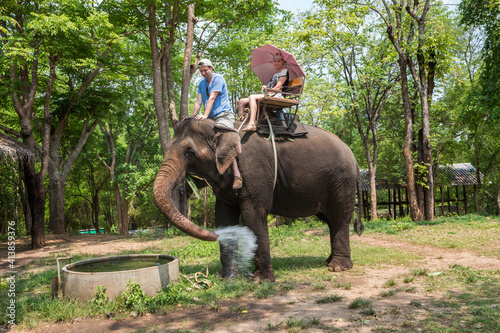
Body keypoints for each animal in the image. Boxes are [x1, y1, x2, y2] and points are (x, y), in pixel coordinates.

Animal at [153, 116, 364, 280]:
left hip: (341, 181)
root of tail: (355, 159)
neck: (222, 127)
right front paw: (227, 277)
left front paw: (260, 279)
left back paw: (338, 267)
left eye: (189, 153)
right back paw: (329, 261)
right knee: (329, 220)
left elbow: (253, 215)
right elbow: (224, 217)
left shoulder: (254, 170)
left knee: (339, 218)